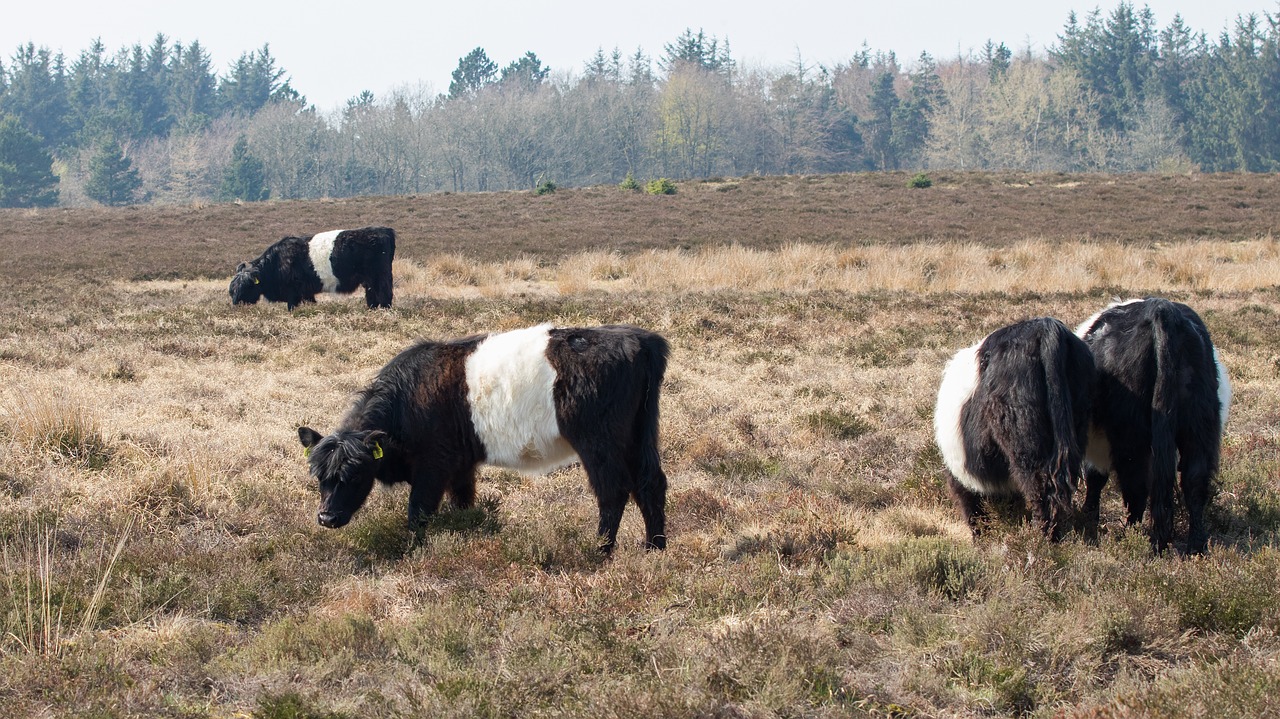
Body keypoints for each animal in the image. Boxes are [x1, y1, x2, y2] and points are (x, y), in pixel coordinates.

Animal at [227, 225, 391, 309]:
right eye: (231, 290)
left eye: (247, 286)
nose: (236, 305)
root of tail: (384, 230)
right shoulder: (307, 293)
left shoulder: (294, 292)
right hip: (369, 281)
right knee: (372, 297)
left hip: (379, 277)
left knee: (385, 295)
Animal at [295, 322, 675, 550]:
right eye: (319, 477)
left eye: (355, 474)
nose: (326, 518)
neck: (409, 398)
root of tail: (638, 337)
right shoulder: (461, 467)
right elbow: (464, 504)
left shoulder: (433, 468)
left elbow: (418, 512)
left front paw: (414, 550)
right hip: (639, 435)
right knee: (650, 483)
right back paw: (654, 549)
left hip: (599, 442)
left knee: (613, 490)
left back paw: (599, 551)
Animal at [931, 316, 1100, 534]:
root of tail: (1045, 328)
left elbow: (973, 511)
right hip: (1076, 421)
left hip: (1025, 444)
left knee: (1042, 492)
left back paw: (1039, 537)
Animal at [1075, 294, 1233, 550]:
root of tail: (1163, 312)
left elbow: (1095, 478)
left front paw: (1088, 517)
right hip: (1199, 427)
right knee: (1195, 481)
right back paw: (1196, 546)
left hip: (1131, 437)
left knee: (1136, 486)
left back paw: (1134, 538)